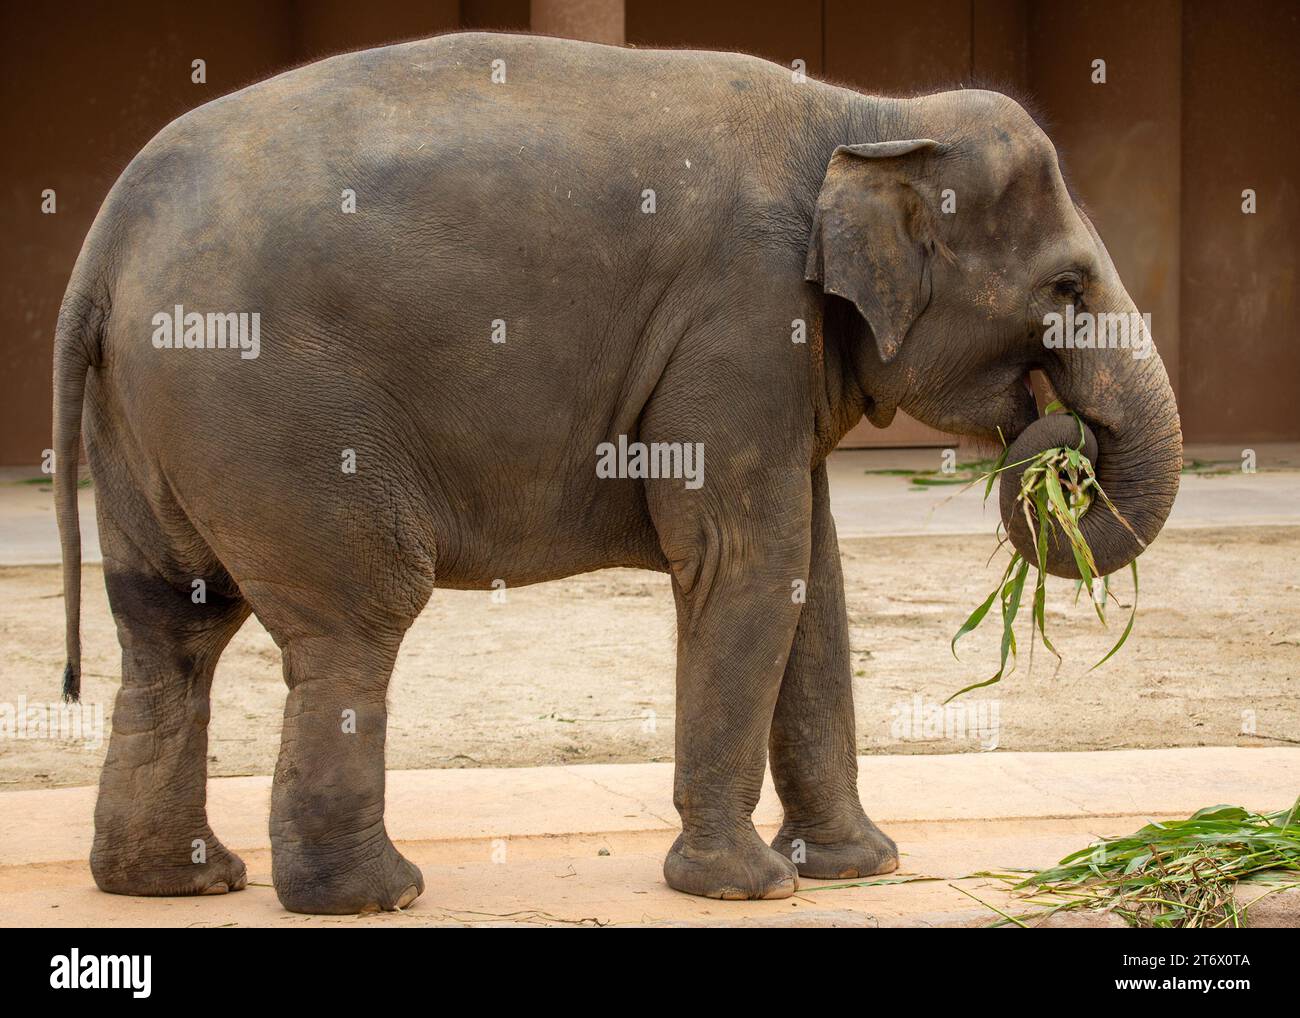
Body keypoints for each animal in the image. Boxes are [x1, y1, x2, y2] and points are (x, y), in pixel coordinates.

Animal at [52, 31, 1181, 914]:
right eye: (1067, 286)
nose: (1060, 439)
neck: (870, 116)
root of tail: (105, 242)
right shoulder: (739, 317)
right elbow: (748, 559)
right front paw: (746, 887)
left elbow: (812, 576)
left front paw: (860, 869)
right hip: (269, 405)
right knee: (355, 618)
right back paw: (377, 893)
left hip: (152, 419)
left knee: (170, 626)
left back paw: (179, 882)